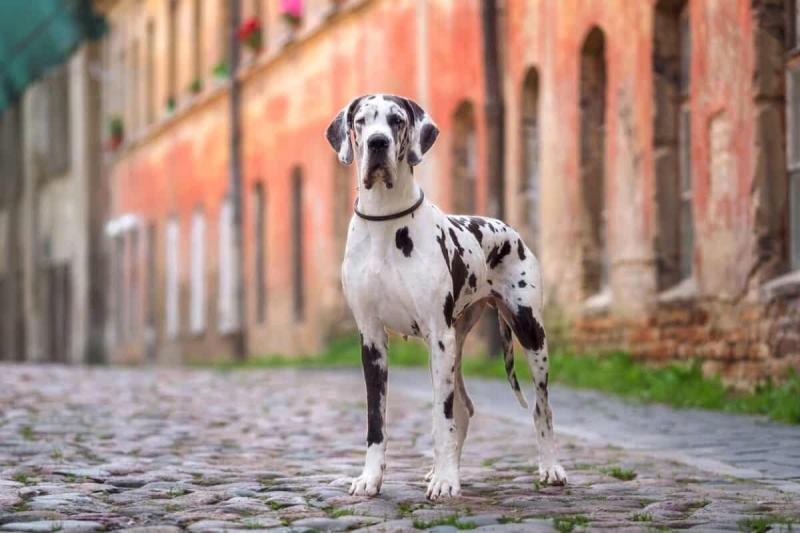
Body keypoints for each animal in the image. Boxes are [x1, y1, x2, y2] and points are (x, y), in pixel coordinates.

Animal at [326, 92, 568, 498]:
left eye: (396, 120)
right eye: (361, 121)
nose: (378, 143)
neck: (386, 223)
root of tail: (508, 228)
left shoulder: (439, 337)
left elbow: (441, 419)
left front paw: (445, 481)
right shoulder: (372, 339)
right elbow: (377, 420)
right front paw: (371, 479)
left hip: (528, 333)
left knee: (541, 408)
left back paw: (550, 468)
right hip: (455, 345)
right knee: (465, 408)